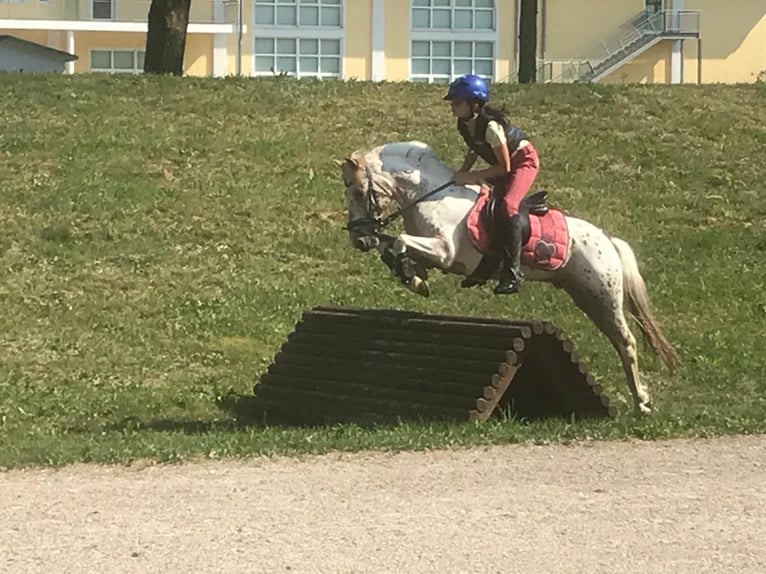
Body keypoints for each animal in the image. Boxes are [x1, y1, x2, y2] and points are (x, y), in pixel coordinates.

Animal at [338, 140, 684, 418]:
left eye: (358, 192)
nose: (358, 239)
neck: (428, 197)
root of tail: (609, 241)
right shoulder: (433, 252)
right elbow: (393, 246)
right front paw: (413, 275)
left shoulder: (448, 253)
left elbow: (398, 241)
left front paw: (413, 277)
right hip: (586, 296)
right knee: (618, 340)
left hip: (603, 294)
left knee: (626, 341)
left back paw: (642, 404)